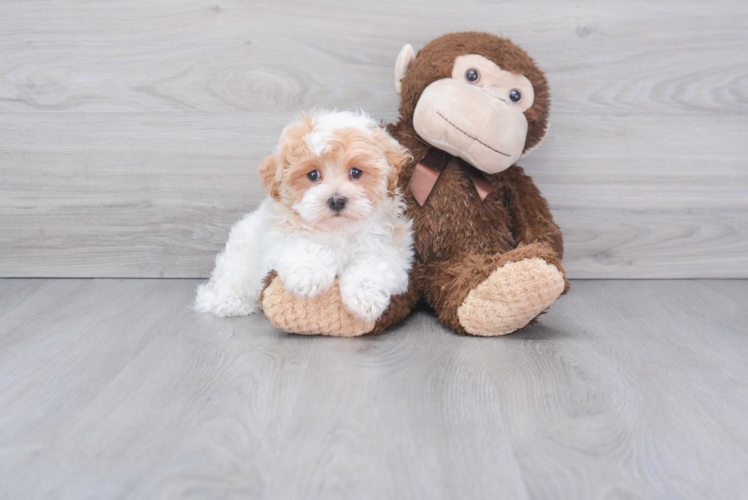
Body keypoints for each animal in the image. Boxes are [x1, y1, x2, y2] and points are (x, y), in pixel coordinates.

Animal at [193, 109, 414, 320]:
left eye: (356, 172)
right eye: (313, 175)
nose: (336, 200)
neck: (338, 231)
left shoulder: (391, 251)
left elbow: (373, 265)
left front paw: (364, 298)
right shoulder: (279, 238)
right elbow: (304, 245)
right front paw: (310, 276)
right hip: (241, 257)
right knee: (232, 279)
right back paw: (231, 301)